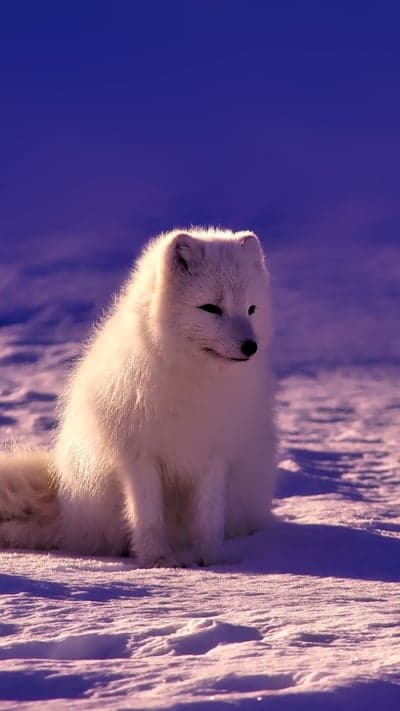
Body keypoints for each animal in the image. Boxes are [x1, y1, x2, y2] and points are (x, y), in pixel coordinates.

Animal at [0, 227, 276, 567]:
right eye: (211, 308)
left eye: (251, 309)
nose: (250, 346)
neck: (192, 380)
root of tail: (66, 511)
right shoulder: (138, 454)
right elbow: (147, 515)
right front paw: (158, 560)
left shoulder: (213, 453)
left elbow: (209, 516)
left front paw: (211, 559)